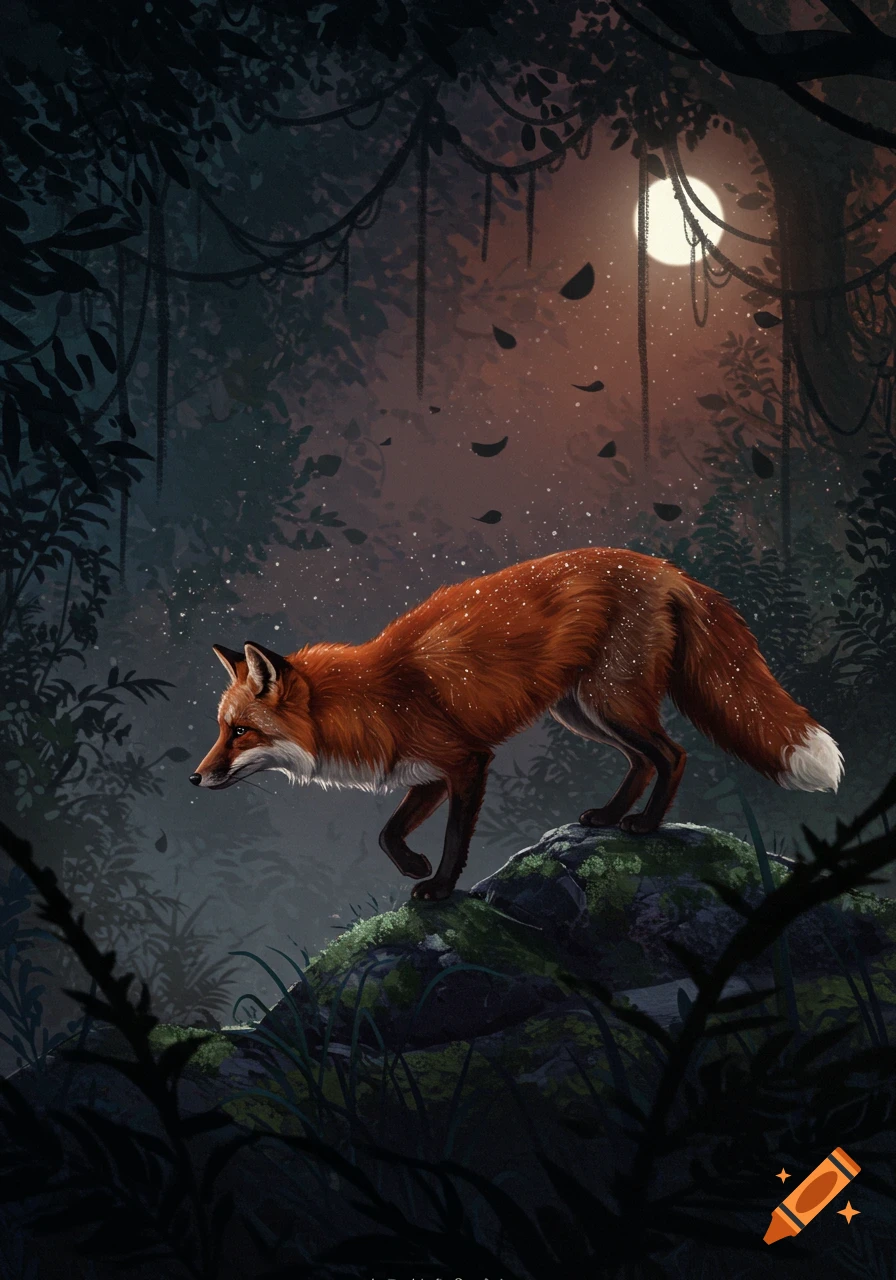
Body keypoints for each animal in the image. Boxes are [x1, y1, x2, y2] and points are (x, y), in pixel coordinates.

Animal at [190, 548, 843, 902]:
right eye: (221, 729)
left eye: (240, 732)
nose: (195, 779)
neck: (371, 698)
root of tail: (663, 567)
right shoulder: (428, 770)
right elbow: (387, 832)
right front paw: (414, 866)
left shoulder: (466, 761)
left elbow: (454, 839)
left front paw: (438, 886)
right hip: (581, 710)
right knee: (641, 759)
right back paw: (609, 817)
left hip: (610, 702)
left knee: (672, 754)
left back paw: (645, 825)